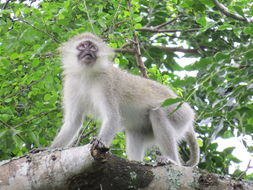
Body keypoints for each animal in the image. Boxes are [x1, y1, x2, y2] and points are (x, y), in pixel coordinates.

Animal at [52, 32, 200, 166]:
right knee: (134, 132)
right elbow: (73, 122)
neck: (86, 74)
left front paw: (99, 141)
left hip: (180, 114)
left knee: (157, 113)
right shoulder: (71, 84)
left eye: (93, 48)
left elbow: (112, 117)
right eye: (82, 46)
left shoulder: (106, 83)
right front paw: (49, 150)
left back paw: (172, 160)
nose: (88, 51)